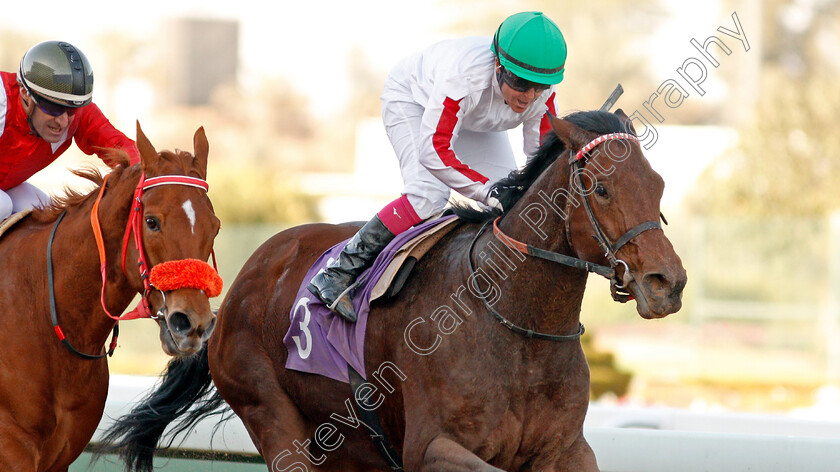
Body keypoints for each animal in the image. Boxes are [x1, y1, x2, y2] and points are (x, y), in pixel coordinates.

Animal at [101, 109, 684, 472]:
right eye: (602, 188)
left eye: (658, 185)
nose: (667, 283)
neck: (518, 328)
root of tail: (244, 281)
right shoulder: (429, 447)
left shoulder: (566, 450)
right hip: (271, 412)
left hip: (348, 445)